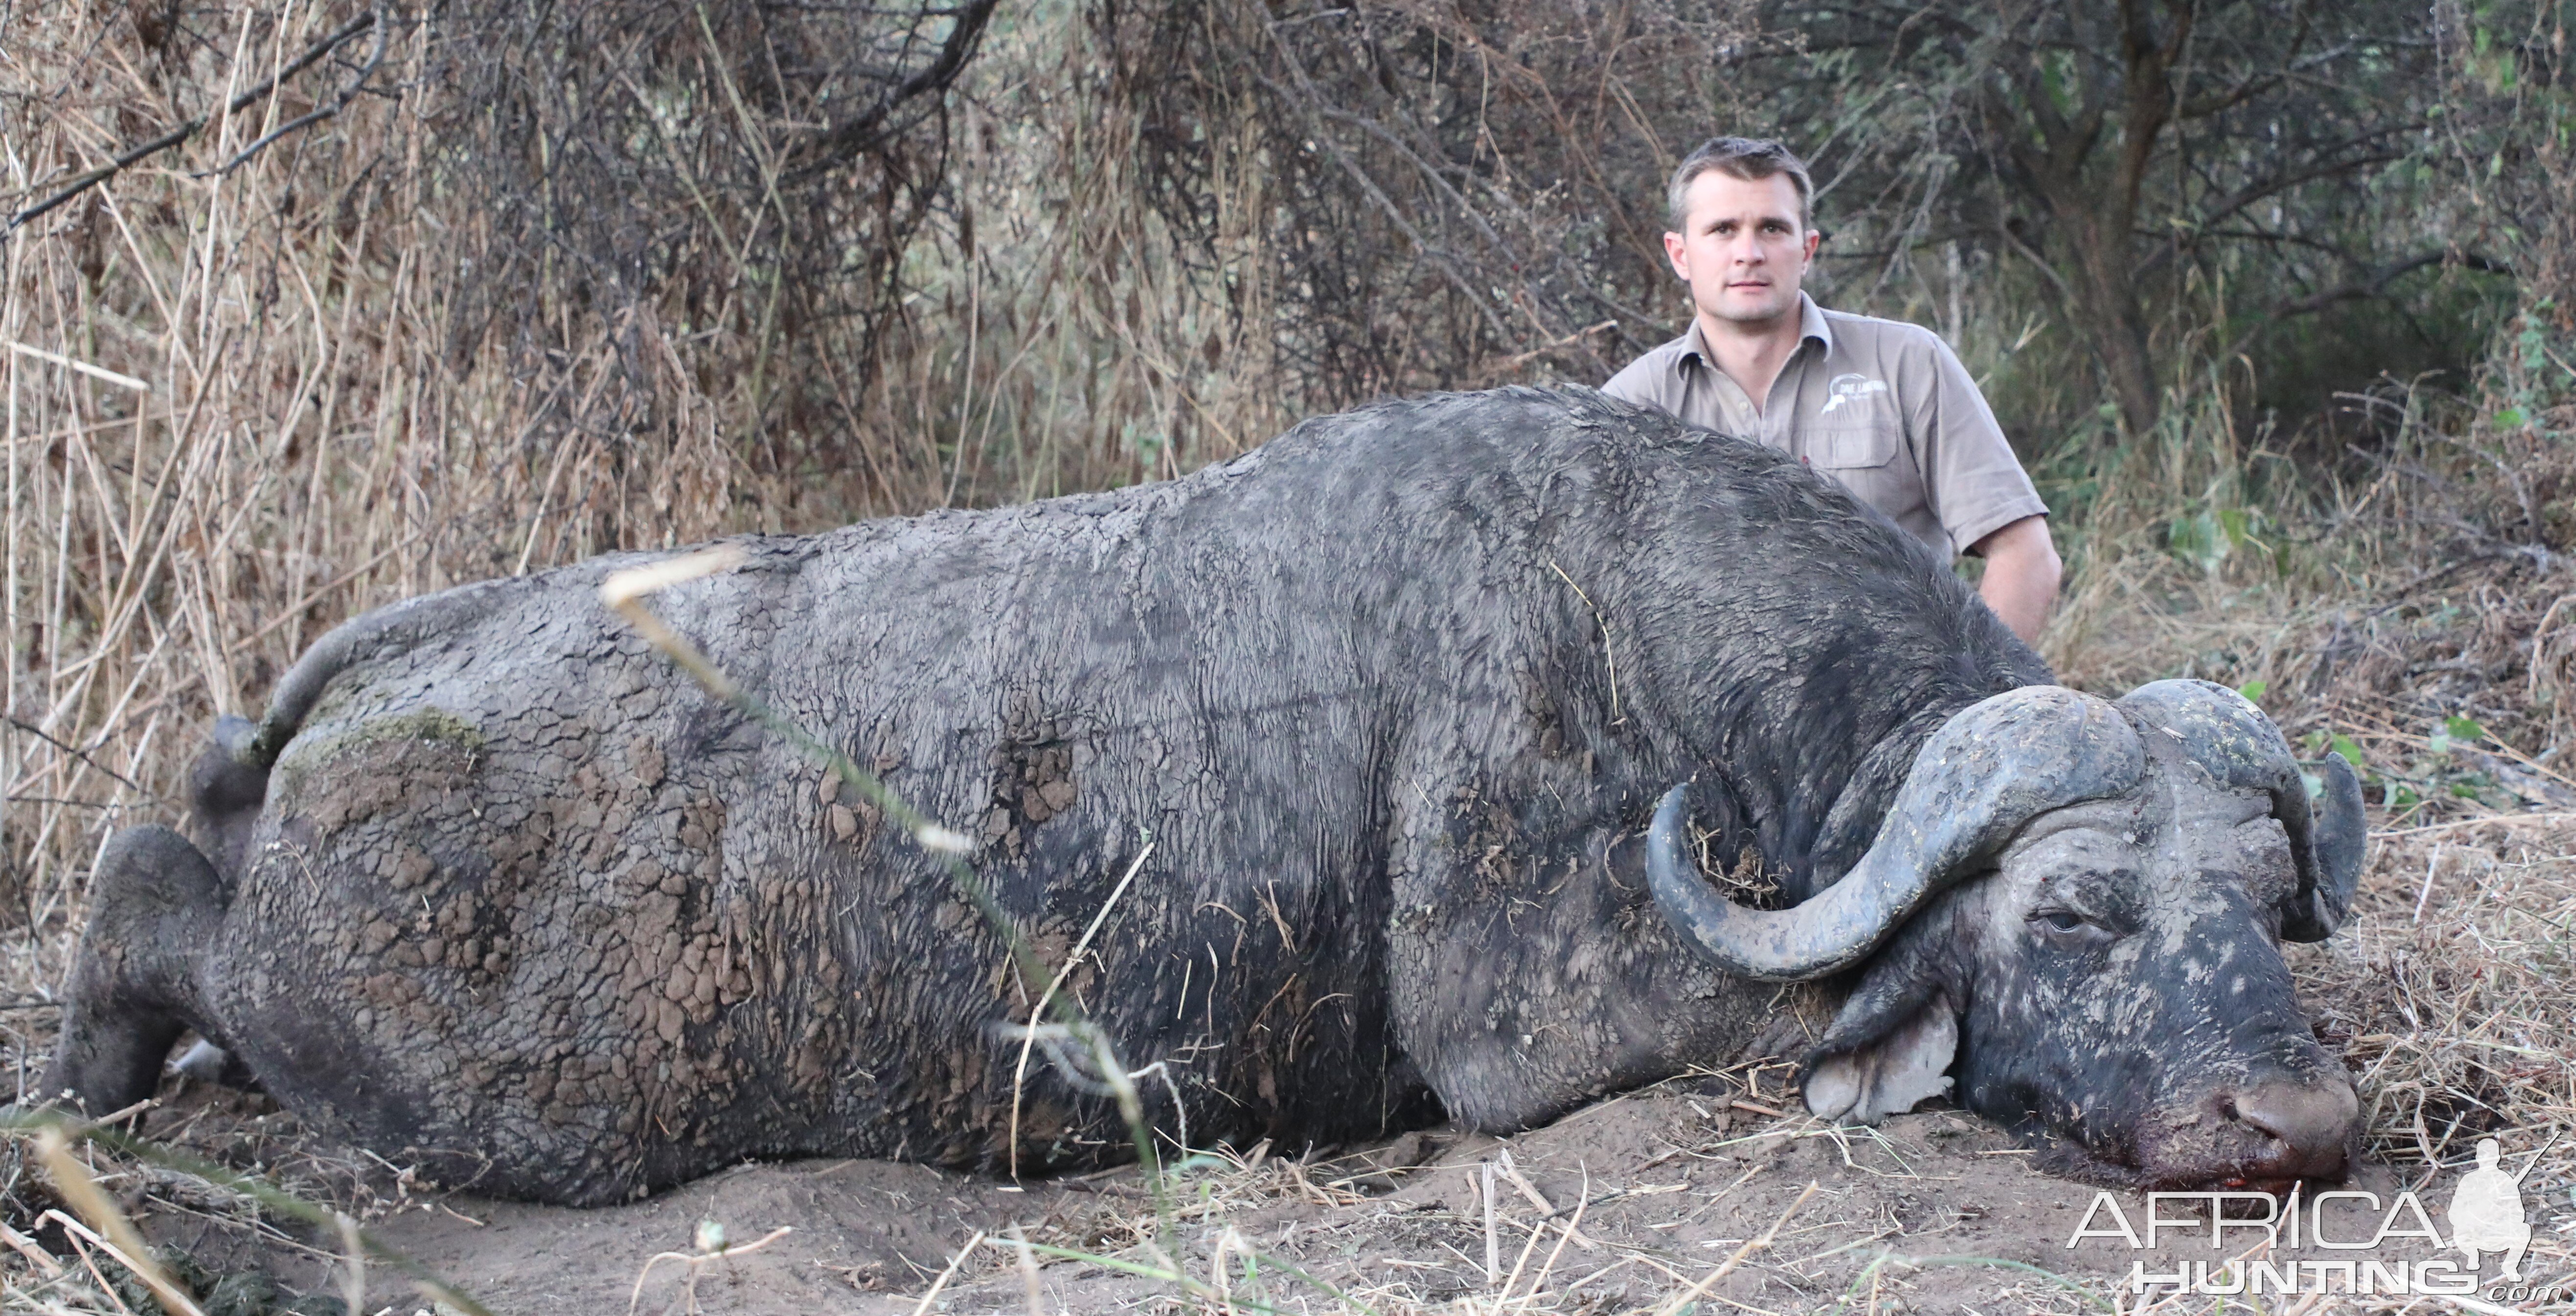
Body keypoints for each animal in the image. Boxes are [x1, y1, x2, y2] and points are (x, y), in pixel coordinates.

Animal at [45, 384, 2370, 1205]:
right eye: (2068, 913)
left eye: (2261, 901)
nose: (2288, 1119)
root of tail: (381, 681)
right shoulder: (1536, 1025)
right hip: (457, 1074)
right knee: (144, 876)